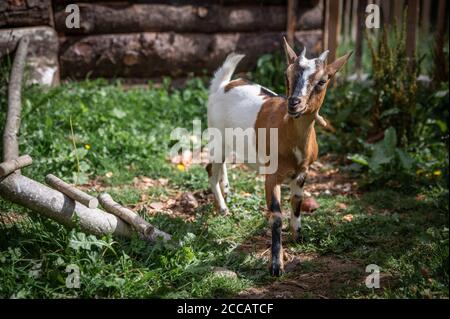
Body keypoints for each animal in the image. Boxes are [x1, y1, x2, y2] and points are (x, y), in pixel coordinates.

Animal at [207, 38, 352, 276]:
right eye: (287, 75)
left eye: (322, 81)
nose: (294, 103)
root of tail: (224, 85)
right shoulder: (271, 175)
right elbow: (276, 215)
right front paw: (276, 265)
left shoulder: (302, 172)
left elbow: (297, 202)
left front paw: (298, 236)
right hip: (216, 134)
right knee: (211, 168)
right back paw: (223, 208)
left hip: (228, 141)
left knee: (222, 165)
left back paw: (226, 188)